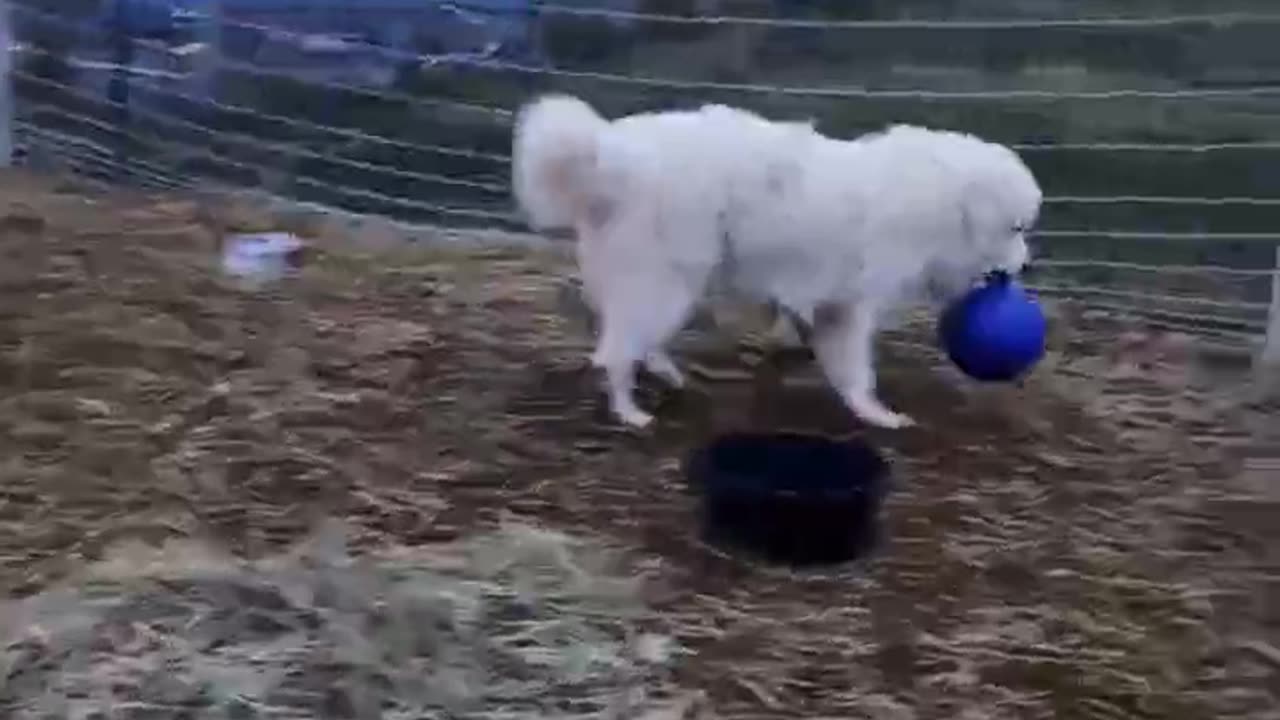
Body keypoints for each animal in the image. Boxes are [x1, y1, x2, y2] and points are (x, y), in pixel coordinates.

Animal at [509, 92, 1039, 427]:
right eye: (1016, 229)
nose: (1024, 266)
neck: (946, 200)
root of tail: (607, 155)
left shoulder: (824, 297)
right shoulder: (852, 304)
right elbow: (855, 369)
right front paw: (875, 414)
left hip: (658, 279)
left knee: (631, 337)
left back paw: (664, 374)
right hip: (665, 277)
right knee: (617, 351)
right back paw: (630, 411)